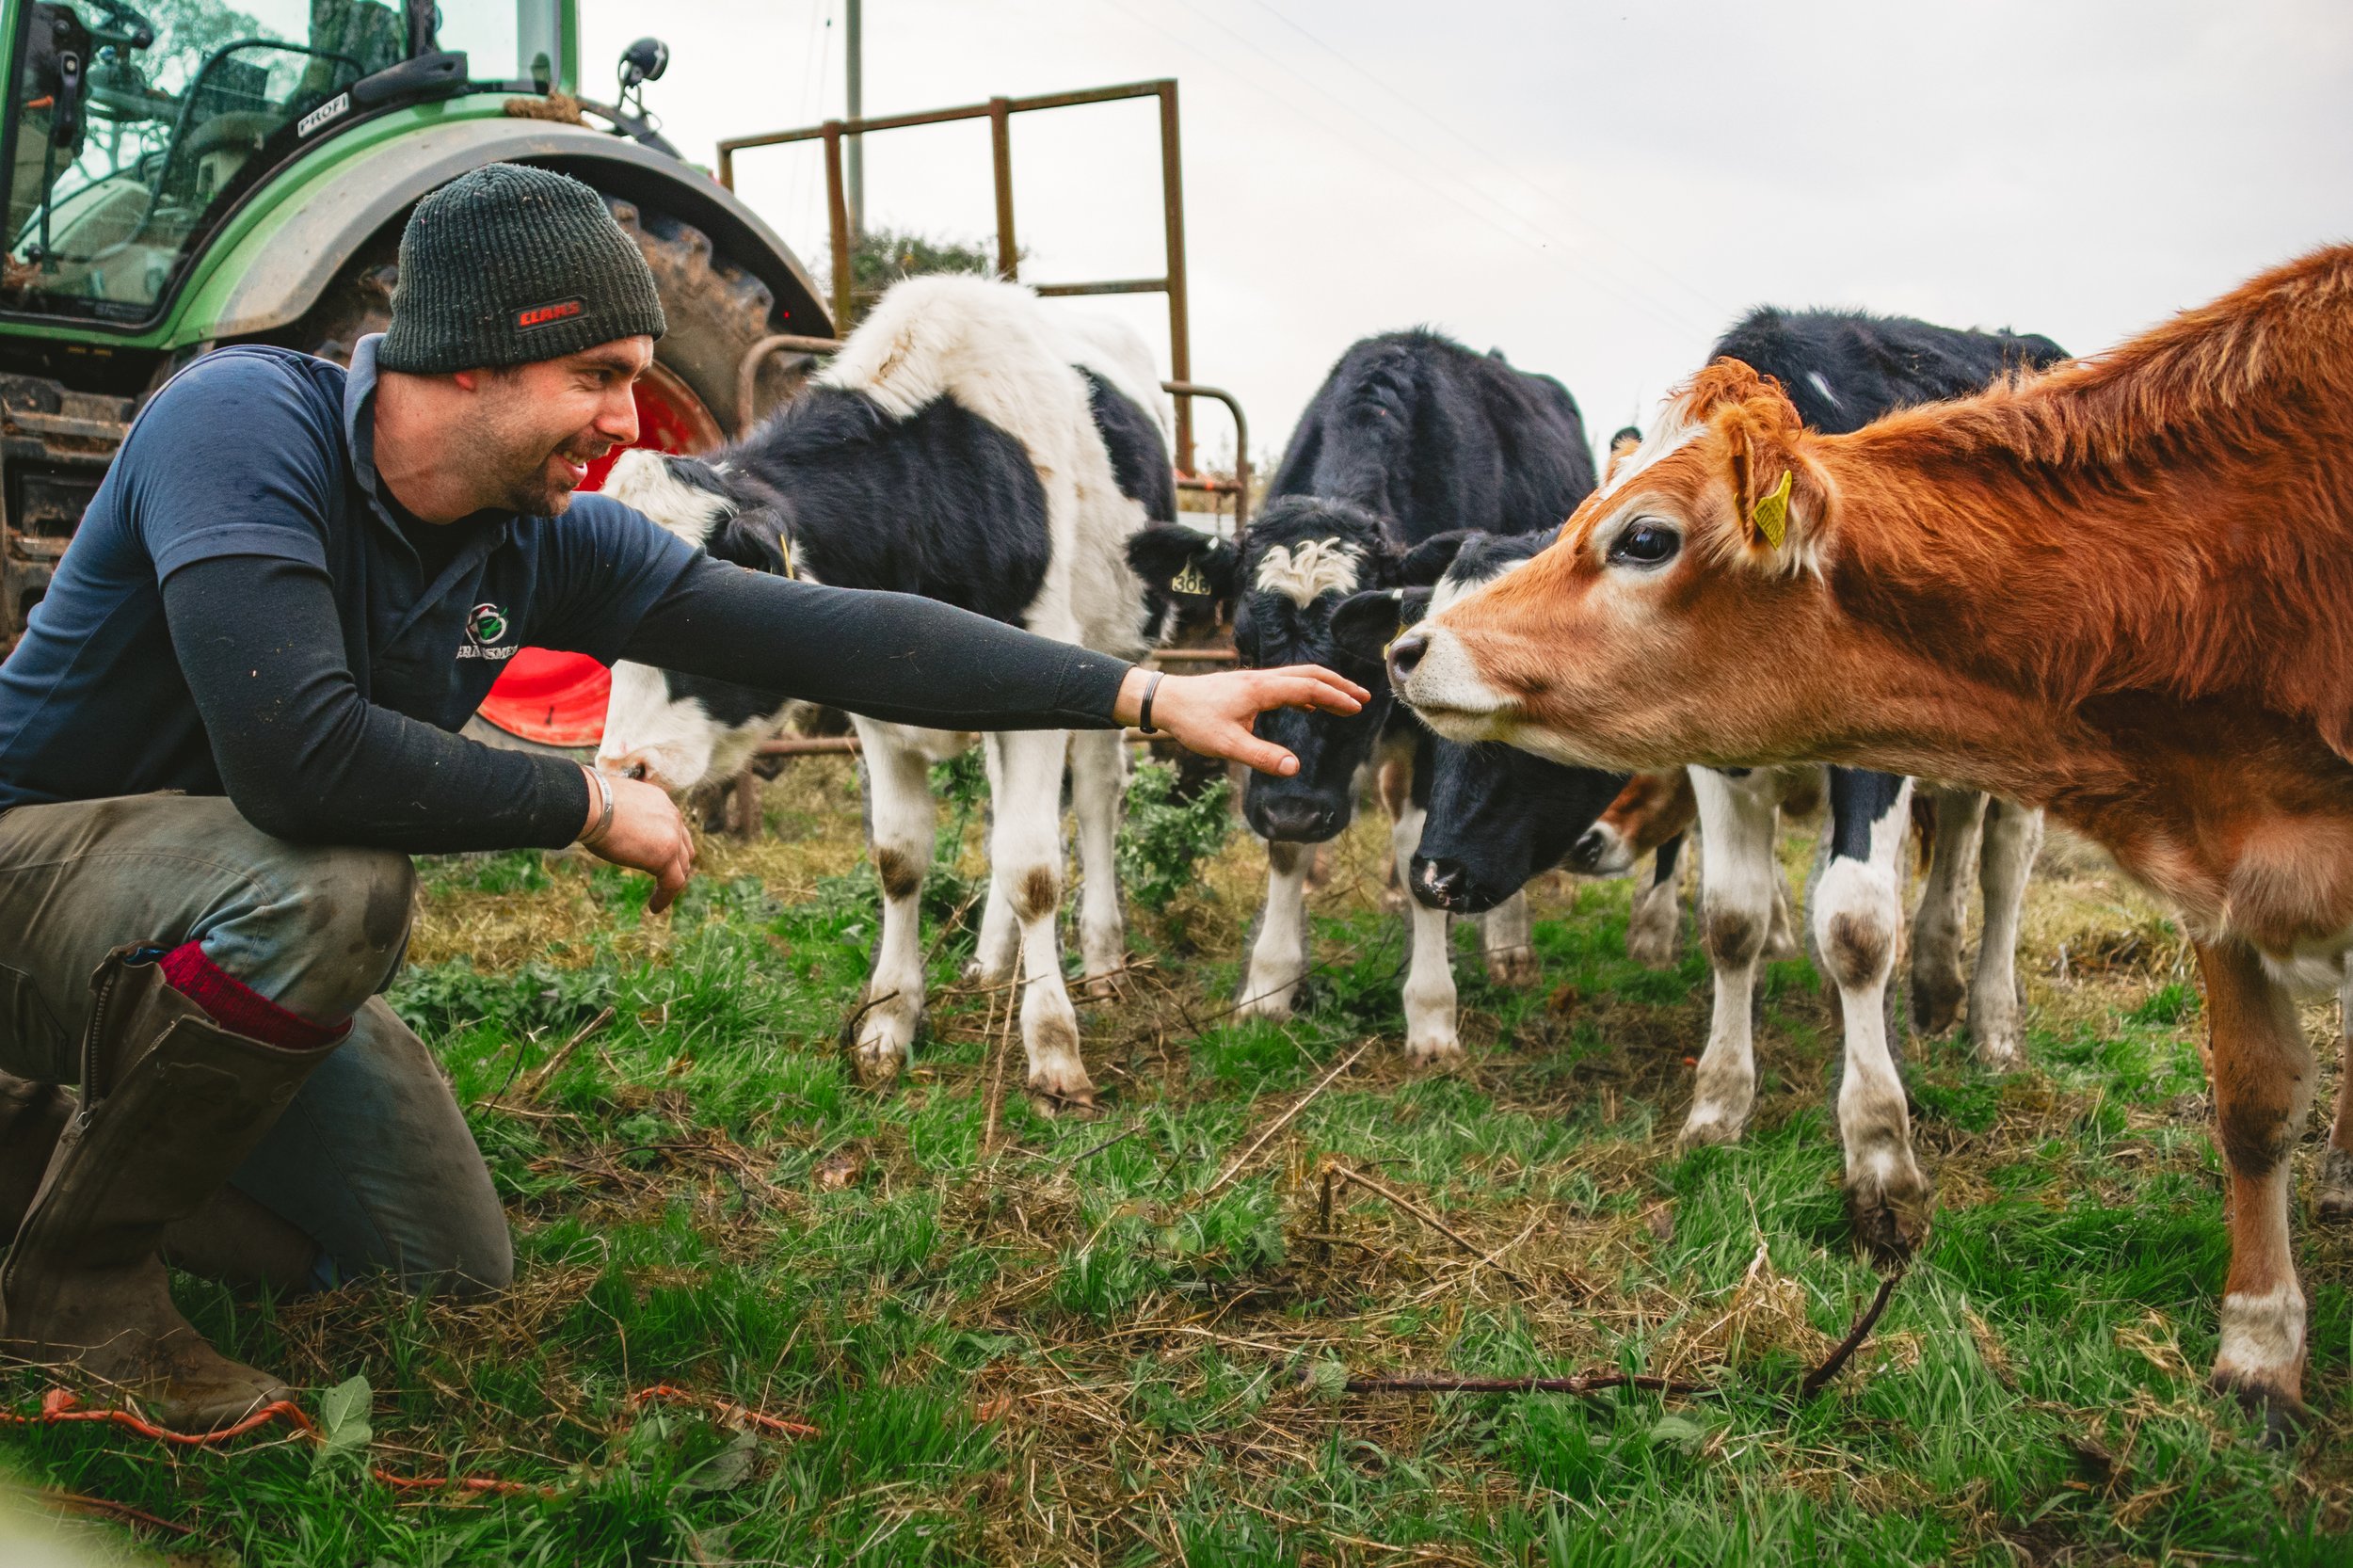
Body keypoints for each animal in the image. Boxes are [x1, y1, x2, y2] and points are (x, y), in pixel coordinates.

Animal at [598, 274, 1167, 1106]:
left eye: (706, 614)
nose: (621, 769)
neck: (935, 479)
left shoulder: (1049, 670)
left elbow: (1033, 867)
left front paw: (1054, 1050)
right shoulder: (879, 703)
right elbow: (900, 858)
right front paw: (887, 1024)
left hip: (1115, 647)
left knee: (1095, 798)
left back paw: (1101, 960)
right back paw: (991, 962)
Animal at [1125, 334, 1600, 1054]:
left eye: (1363, 657)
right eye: (1243, 646)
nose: (1294, 811)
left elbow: (1423, 852)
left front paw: (1431, 1011)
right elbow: (1291, 850)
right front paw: (1269, 984)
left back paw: (1508, 948)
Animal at [1384, 245, 2353, 1431]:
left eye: (1644, 536)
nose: (1435, 872)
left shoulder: (1876, 751)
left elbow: (1853, 927)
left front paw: (1880, 1153)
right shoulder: (1719, 754)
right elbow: (1733, 921)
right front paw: (1719, 1101)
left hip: (2018, 783)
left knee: (1994, 870)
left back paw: (1981, 1017)